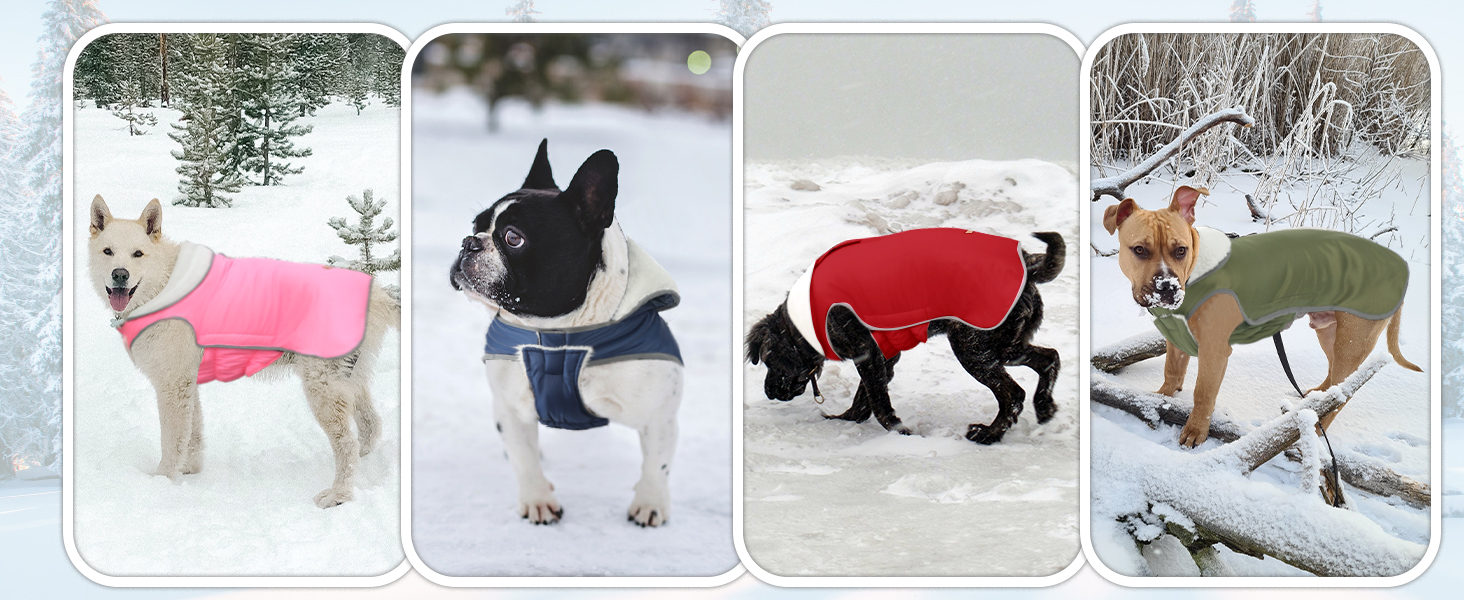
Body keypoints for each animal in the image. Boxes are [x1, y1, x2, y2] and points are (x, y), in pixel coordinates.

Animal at [90, 196, 401, 506]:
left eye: (138, 254)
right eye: (108, 251)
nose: (120, 275)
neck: (162, 286)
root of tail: (377, 295)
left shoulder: (172, 386)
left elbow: (173, 440)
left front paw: (163, 480)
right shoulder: (187, 382)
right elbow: (193, 433)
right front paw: (190, 470)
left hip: (323, 389)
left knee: (346, 443)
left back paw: (338, 494)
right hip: (348, 380)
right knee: (369, 426)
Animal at [447, 139, 682, 523]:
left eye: (513, 238)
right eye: (475, 225)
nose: (469, 242)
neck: (562, 331)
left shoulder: (659, 415)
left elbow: (656, 464)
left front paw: (650, 502)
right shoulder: (510, 410)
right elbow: (524, 458)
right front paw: (538, 499)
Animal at [743, 226, 1065, 441]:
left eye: (769, 362)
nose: (769, 392)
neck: (806, 319)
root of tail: (1029, 265)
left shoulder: (866, 353)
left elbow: (877, 401)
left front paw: (901, 431)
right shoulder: (884, 356)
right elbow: (864, 398)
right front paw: (846, 418)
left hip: (974, 348)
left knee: (1013, 393)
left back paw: (989, 434)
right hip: (1005, 346)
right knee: (1049, 358)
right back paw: (1044, 406)